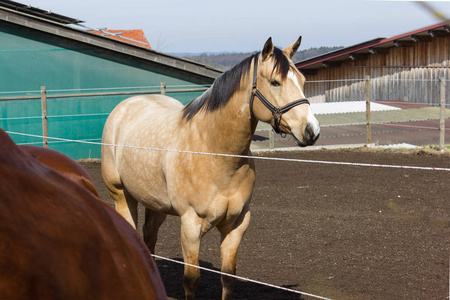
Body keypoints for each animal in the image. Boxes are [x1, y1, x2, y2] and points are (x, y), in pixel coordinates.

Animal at [102, 36, 320, 298]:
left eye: (303, 81)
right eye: (275, 82)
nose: (311, 130)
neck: (214, 152)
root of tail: (124, 106)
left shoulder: (237, 224)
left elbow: (228, 277)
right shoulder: (191, 225)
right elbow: (191, 279)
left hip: (156, 204)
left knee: (149, 238)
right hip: (122, 196)